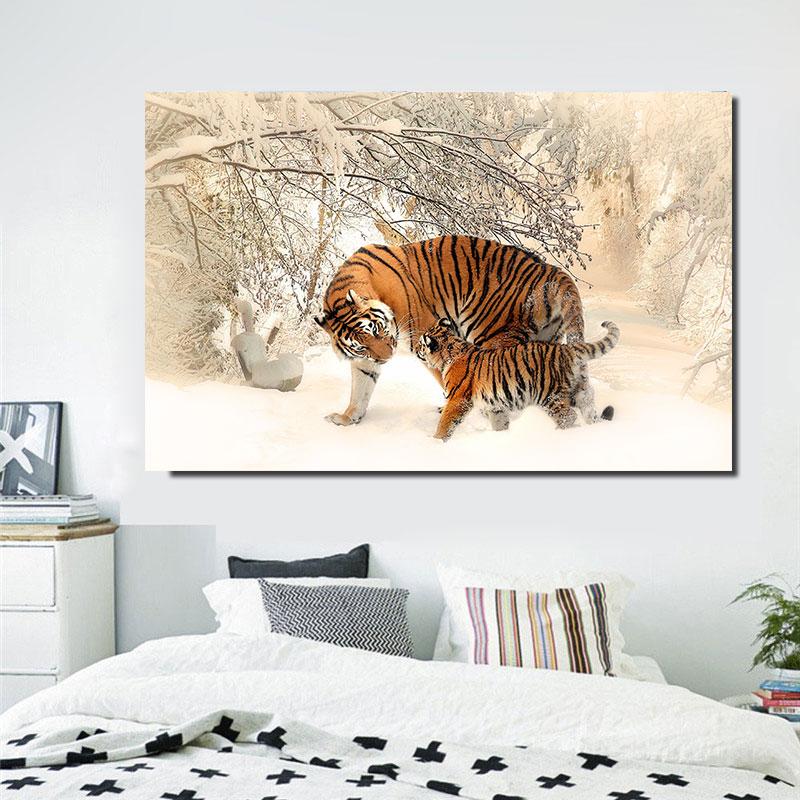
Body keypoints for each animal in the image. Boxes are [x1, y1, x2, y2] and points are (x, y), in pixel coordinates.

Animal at [314, 235, 587, 426]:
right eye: (361, 346)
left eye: (377, 330)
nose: (387, 358)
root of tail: (550, 270)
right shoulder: (365, 360)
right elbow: (360, 387)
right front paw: (347, 418)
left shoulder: (424, 334)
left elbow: (446, 377)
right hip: (545, 340)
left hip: (492, 334)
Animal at [415, 317, 619, 441]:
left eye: (420, 344)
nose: (416, 349)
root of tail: (567, 349)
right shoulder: (495, 405)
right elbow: (499, 422)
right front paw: (501, 437)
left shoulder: (458, 399)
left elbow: (446, 422)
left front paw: (436, 442)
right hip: (581, 391)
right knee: (589, 411)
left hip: (549, 396)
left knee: (568, 417)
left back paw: (558, 435)